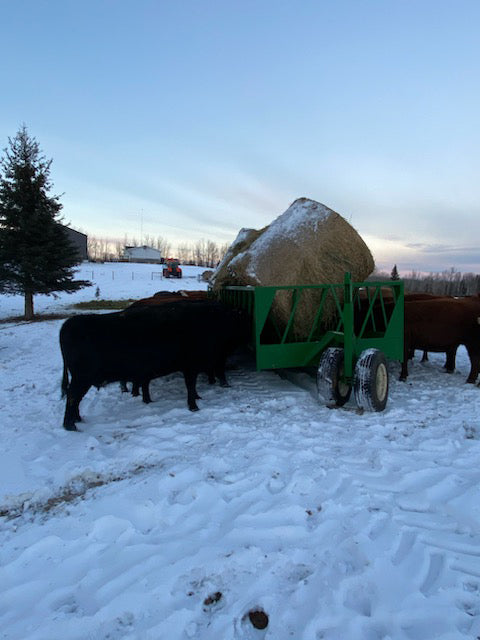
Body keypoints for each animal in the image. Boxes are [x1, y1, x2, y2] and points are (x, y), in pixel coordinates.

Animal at [60, 300, 250, 431]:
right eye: (240, 321)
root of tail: (69, 323)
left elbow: (193, 385)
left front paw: (197, 398)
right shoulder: (190, 365)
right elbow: (190, 385)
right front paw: (194, 406)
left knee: (74, 398)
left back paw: (77, 420)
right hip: (82, 377)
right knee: (72, 397)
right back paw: (70, 425)